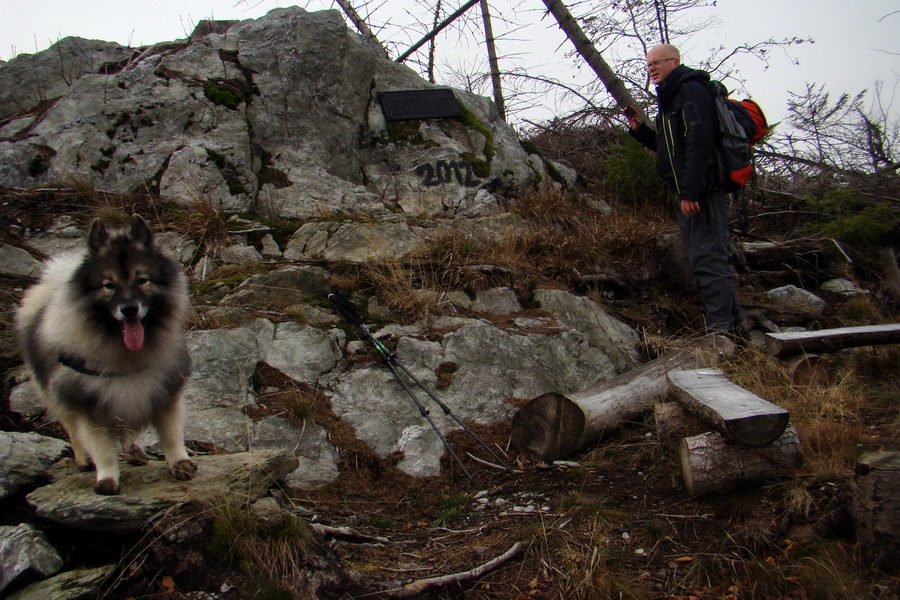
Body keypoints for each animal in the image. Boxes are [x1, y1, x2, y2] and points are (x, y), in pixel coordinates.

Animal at [17, 213, 197, 494]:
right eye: (108, 285)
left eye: (142, 279)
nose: (129, 309)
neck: (124, 354)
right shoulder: (89, 406)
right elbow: (102, 449)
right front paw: (107, 478)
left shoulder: (163, 393)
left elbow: (171, 435)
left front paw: (180, 462)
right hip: (57, 399)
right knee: (73, 431)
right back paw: (83, 460)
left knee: (125, 433)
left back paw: (133, 451)